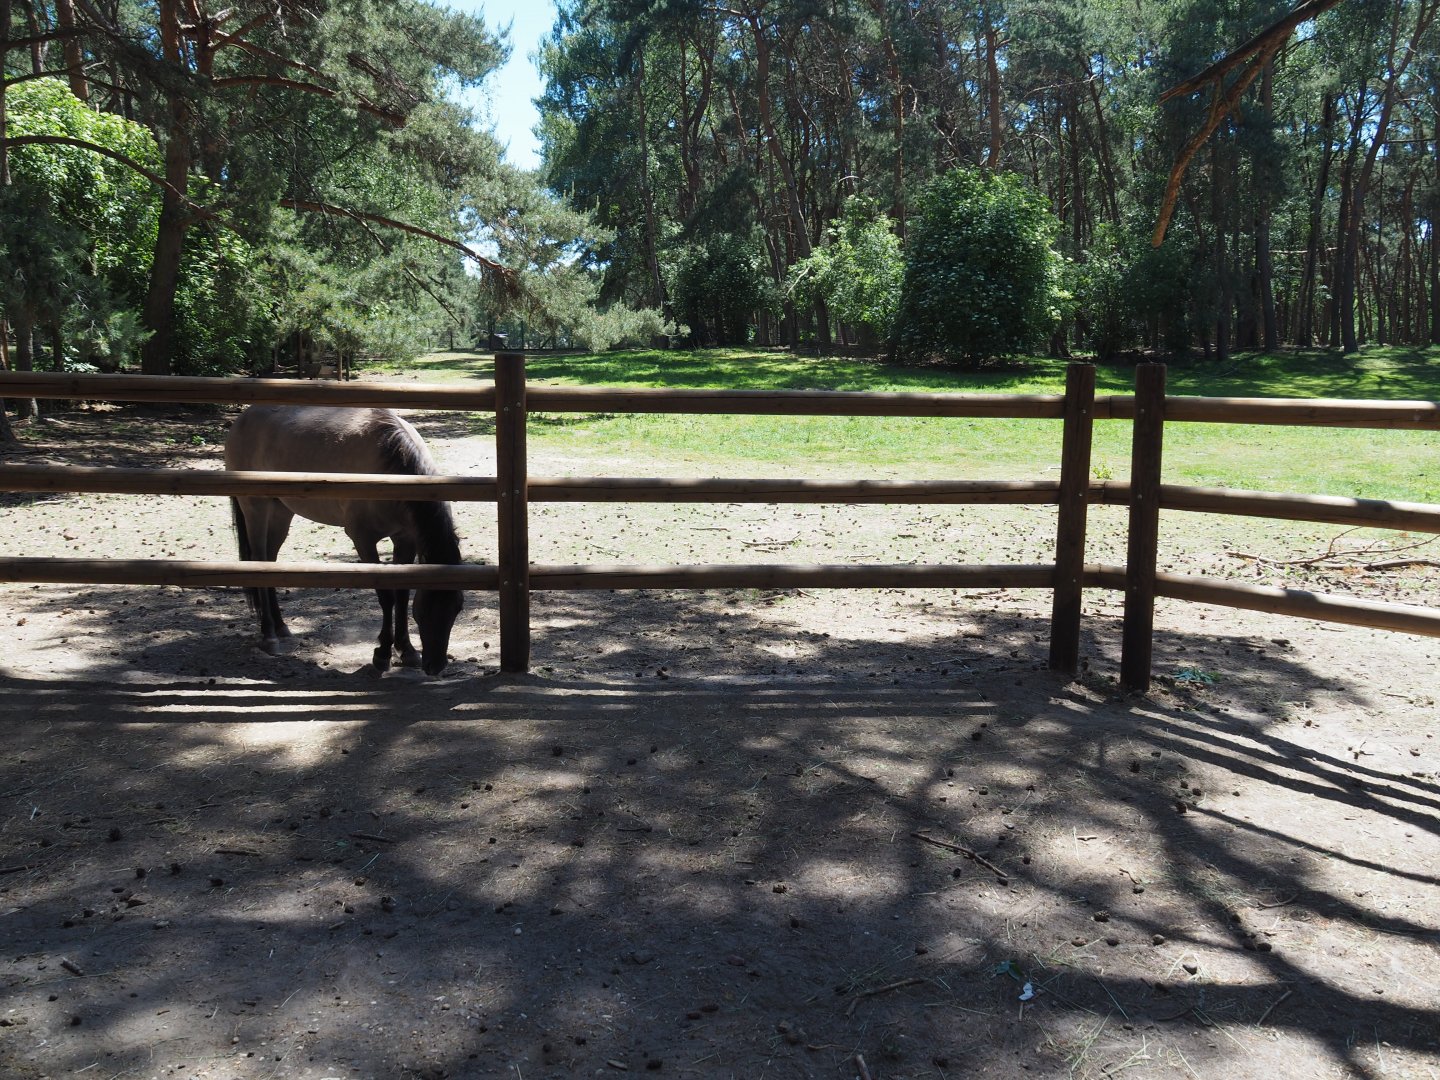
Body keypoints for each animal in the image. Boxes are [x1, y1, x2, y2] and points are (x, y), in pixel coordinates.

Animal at [224, 405, 464, 675]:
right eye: (423, 610)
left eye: (457, 607)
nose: (435, 665)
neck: (391, 466)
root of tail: (243, 419)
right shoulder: (363, 540)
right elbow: (386, 596)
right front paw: (382, 654)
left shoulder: (406, 539)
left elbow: (402, 595)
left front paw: (407, 651)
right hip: (256, 508)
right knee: (258, 561)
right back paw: (269, 636)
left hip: (280, 511)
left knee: (270, 561)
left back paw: (281, 627)